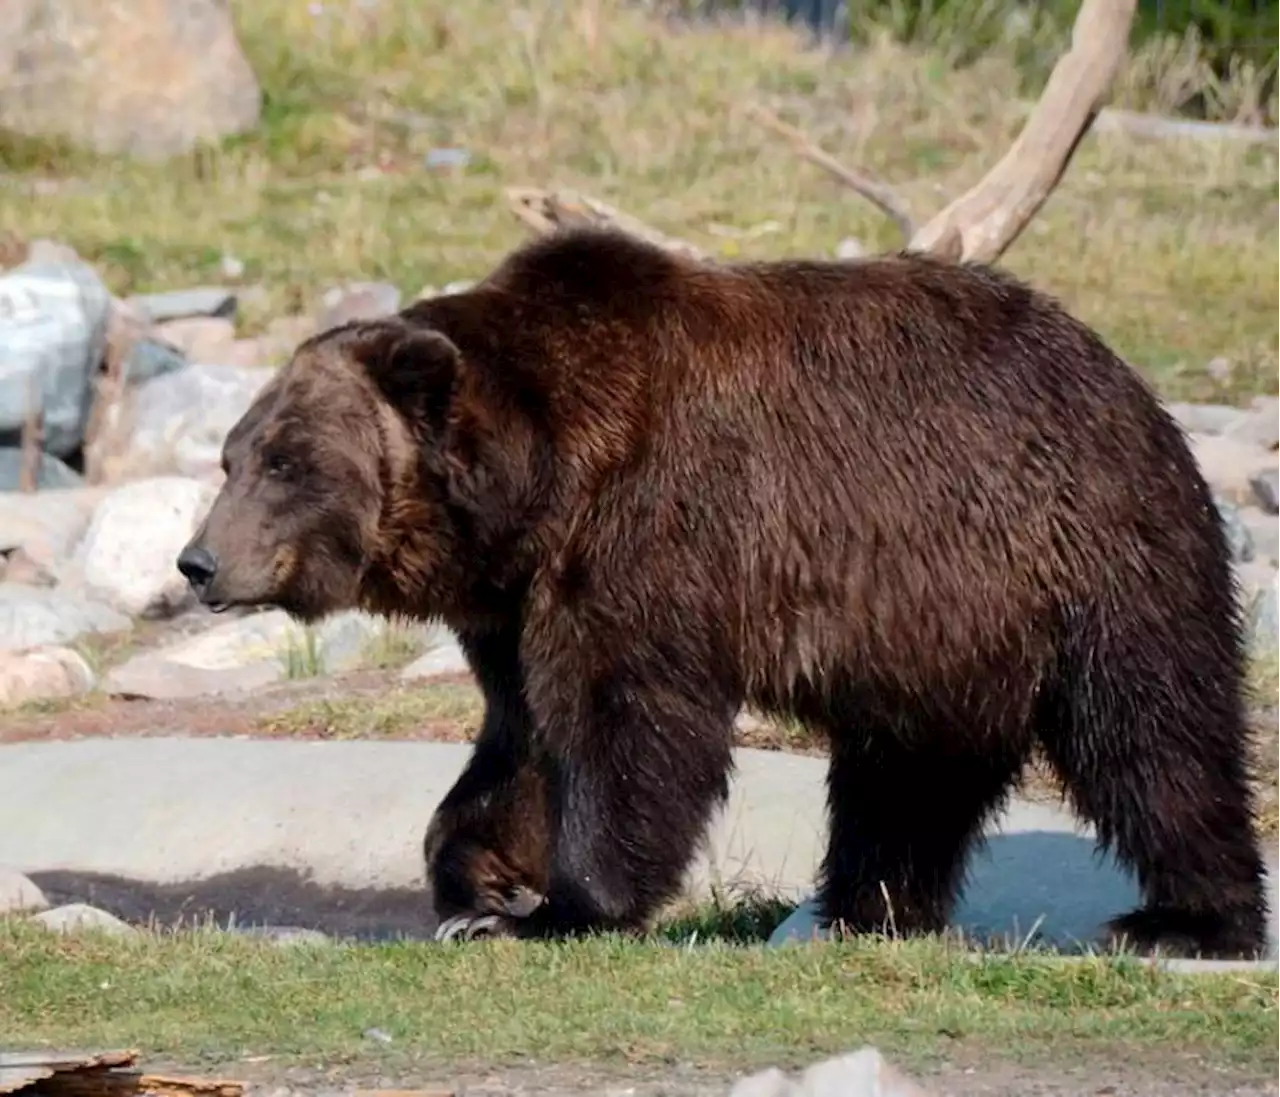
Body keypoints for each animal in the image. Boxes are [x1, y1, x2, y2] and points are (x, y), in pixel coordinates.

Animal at [177, 225, 1269, 957]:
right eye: (234, 453)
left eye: (284, 461)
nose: (198, 562)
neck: (536, 480)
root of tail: (1123, 375)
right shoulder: (519, 597)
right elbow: (521, 735)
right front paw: (480, 880)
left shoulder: (651, 528)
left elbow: (627, 726)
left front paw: (567, 903)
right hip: (939, 627)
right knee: (908, 770)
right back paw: (865, 906)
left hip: (1083, 548)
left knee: (1152, 732)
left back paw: (1183, 918)